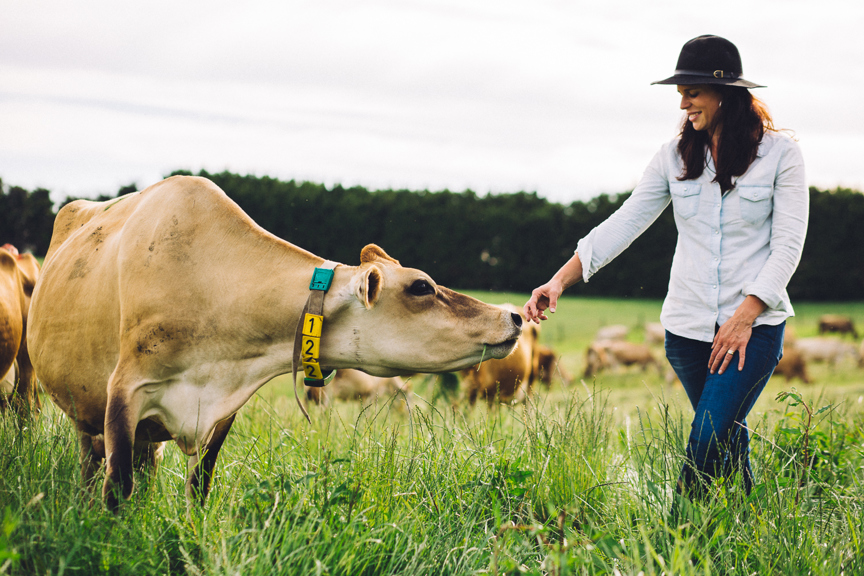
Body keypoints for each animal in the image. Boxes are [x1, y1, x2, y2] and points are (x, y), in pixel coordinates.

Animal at [27, 175, 522, 510]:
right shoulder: (124, 394)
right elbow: (118, 487)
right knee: (92, 465)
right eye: (421, 286)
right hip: (83, 408)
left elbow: (199, 487)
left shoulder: (222, 408)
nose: (514, 314)